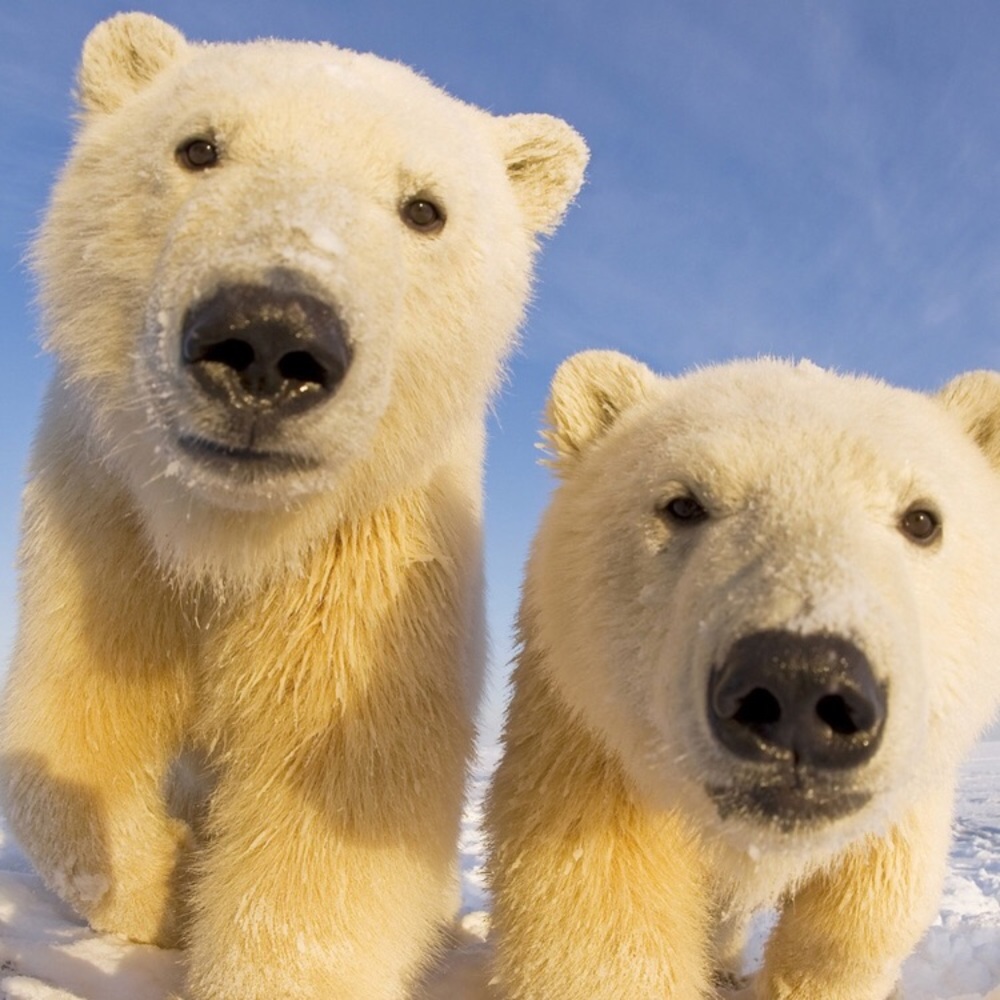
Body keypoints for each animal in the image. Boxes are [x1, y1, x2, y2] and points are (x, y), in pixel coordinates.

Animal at [0, 13, 587, 1000]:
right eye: (198, 147)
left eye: (424, 208)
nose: (271, 339)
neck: (229, 535)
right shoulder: (105, 517)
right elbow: (71, 729)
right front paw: (168, 881)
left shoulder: (370, 565)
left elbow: (333, 816)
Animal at [485, 351, 1000, 1000]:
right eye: (682, 504)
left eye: (922, 519)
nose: (801, 682)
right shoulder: (583, 733)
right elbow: (599, 906)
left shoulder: (904, 792)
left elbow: (858, 918)